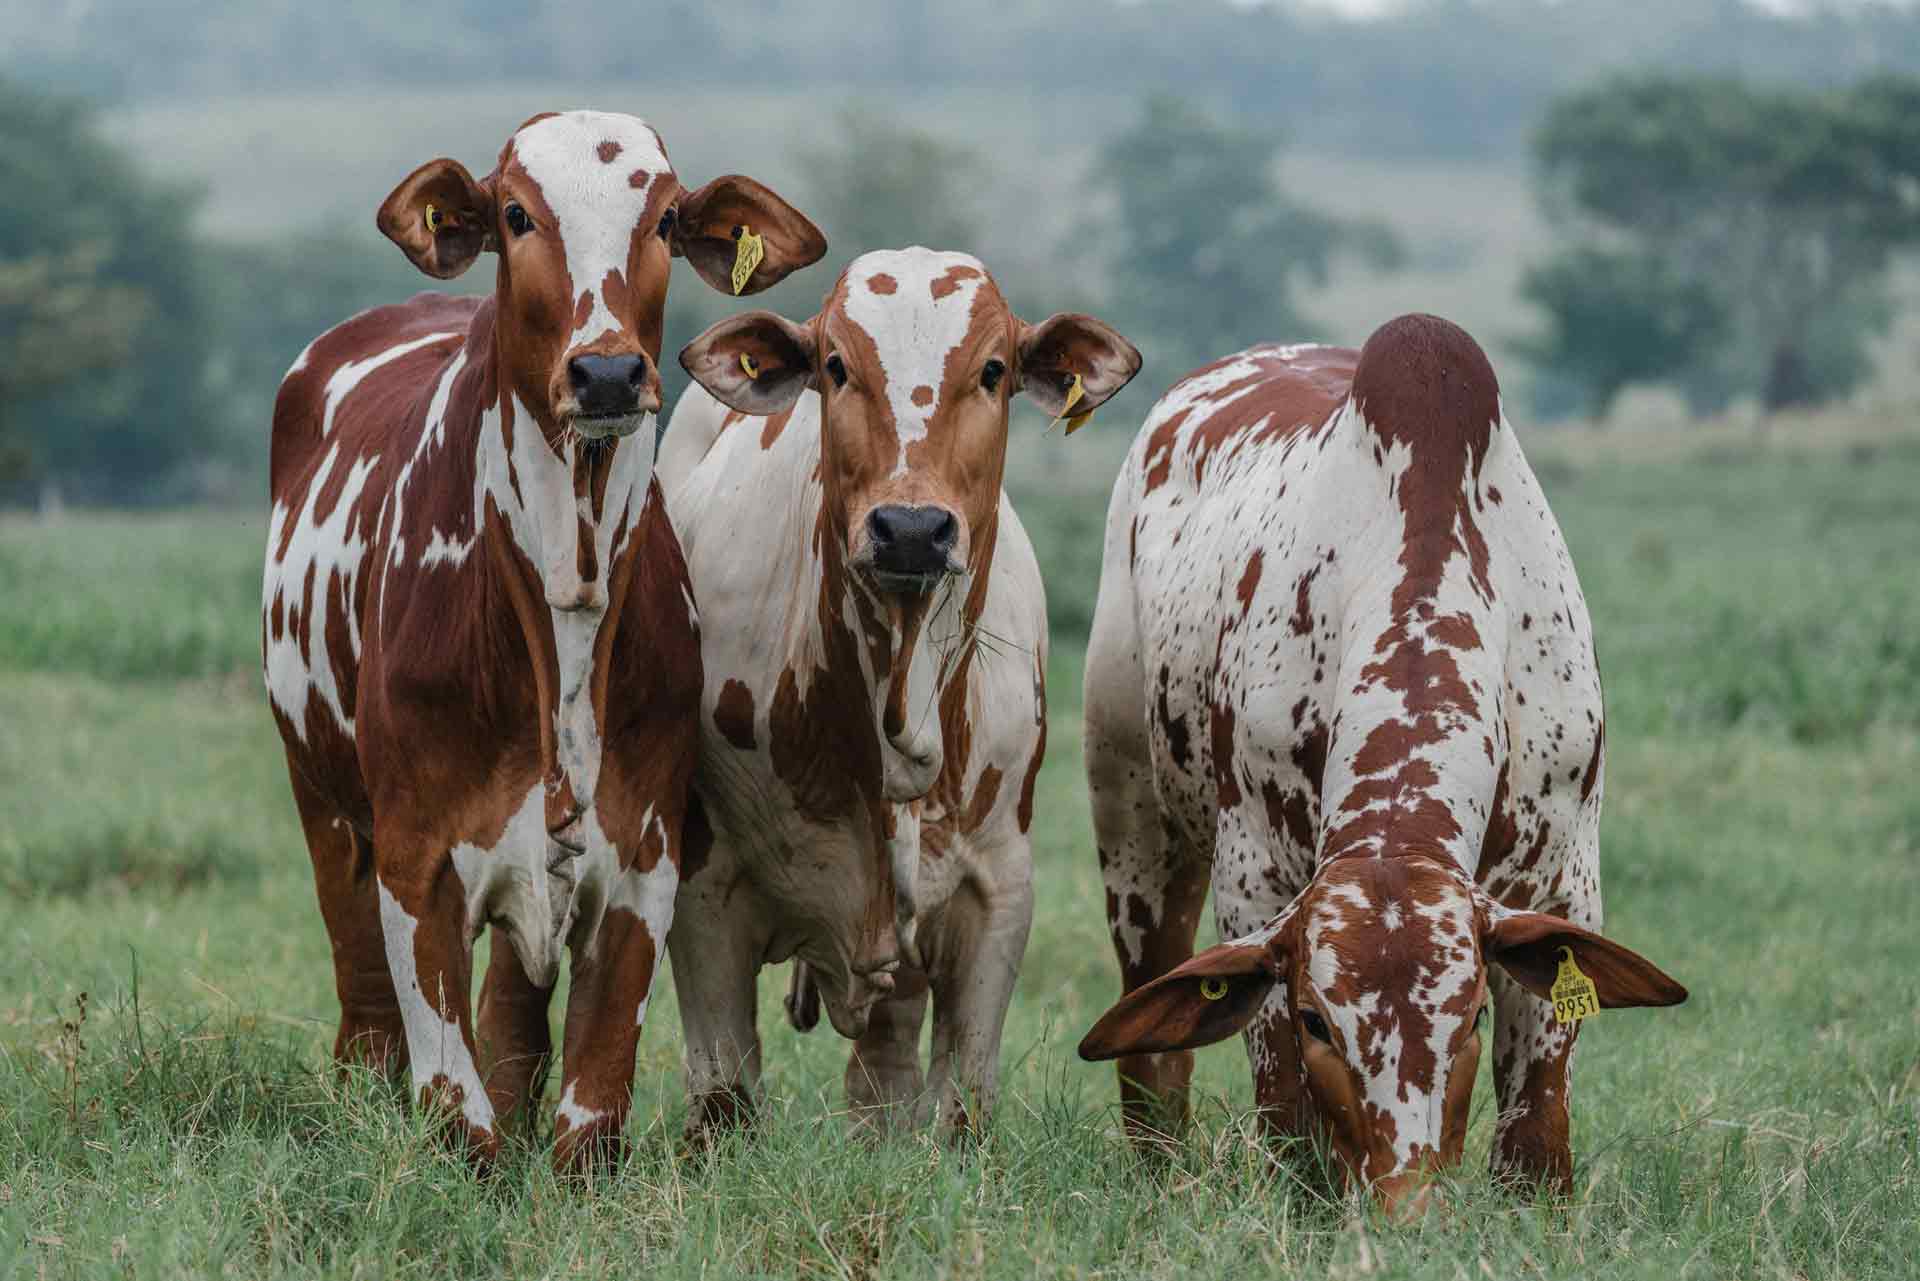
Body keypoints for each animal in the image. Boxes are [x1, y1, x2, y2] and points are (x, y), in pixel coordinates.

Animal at [261, 110, 825, 1172]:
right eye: (517, 214)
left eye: (667, 216)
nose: (605, 371)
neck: (565, 586)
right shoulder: (417, 865)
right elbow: (459, 1118)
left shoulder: (642, 863)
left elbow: (588, 1121)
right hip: (326, 808)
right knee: (367, 1017)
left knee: (514, 1021)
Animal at [656, 248, 1140, 1138]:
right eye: (836, 366)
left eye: (993, 370)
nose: (911, 529)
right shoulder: (704, 893)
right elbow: (723, 1093)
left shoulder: (998, 894)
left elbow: (963, 1101)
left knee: (883, 1066)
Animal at [1075, 315, 1686, 1213]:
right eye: (1319, 1021)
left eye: (1471, 1017)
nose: (1408, 1203)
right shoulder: (1254, 881)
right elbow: (1284, 1106)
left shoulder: (1564, 878)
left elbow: (1537, 1123)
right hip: (1132, 819)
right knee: (1153, 1043)